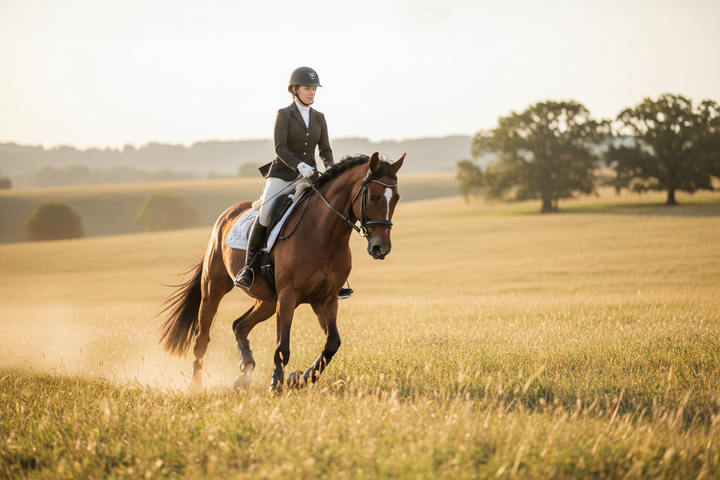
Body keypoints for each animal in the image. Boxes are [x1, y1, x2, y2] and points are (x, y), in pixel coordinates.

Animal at [157, 152, 405, 393]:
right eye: (372, 197)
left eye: (397, 198)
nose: (381, 248)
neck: (323, 234)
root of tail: (227, 215)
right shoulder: (288, 297)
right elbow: (282, 347)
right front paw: (277, 384)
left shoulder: (326, 299)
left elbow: (332, 343)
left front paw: (302, 378)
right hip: (214, 289)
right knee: (202, 337)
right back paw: (196, 385)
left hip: (267, 300)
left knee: (239, 325)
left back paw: (245, 372)